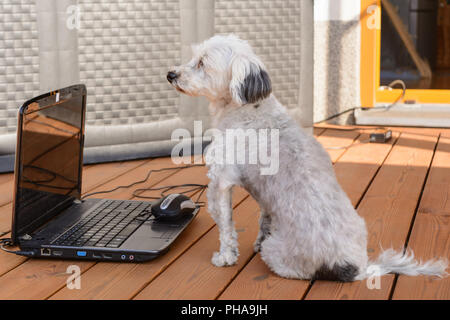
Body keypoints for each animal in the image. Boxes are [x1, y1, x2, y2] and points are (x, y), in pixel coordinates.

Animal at [168, 33, 446, 282]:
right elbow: (264, 219)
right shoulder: (265, 197)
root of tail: (356, 267)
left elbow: (226, 227)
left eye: (202, 63)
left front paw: (225, 257)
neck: (247, 108)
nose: (171, 74)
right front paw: (257, 239)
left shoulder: (221, 182)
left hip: (278, 253)